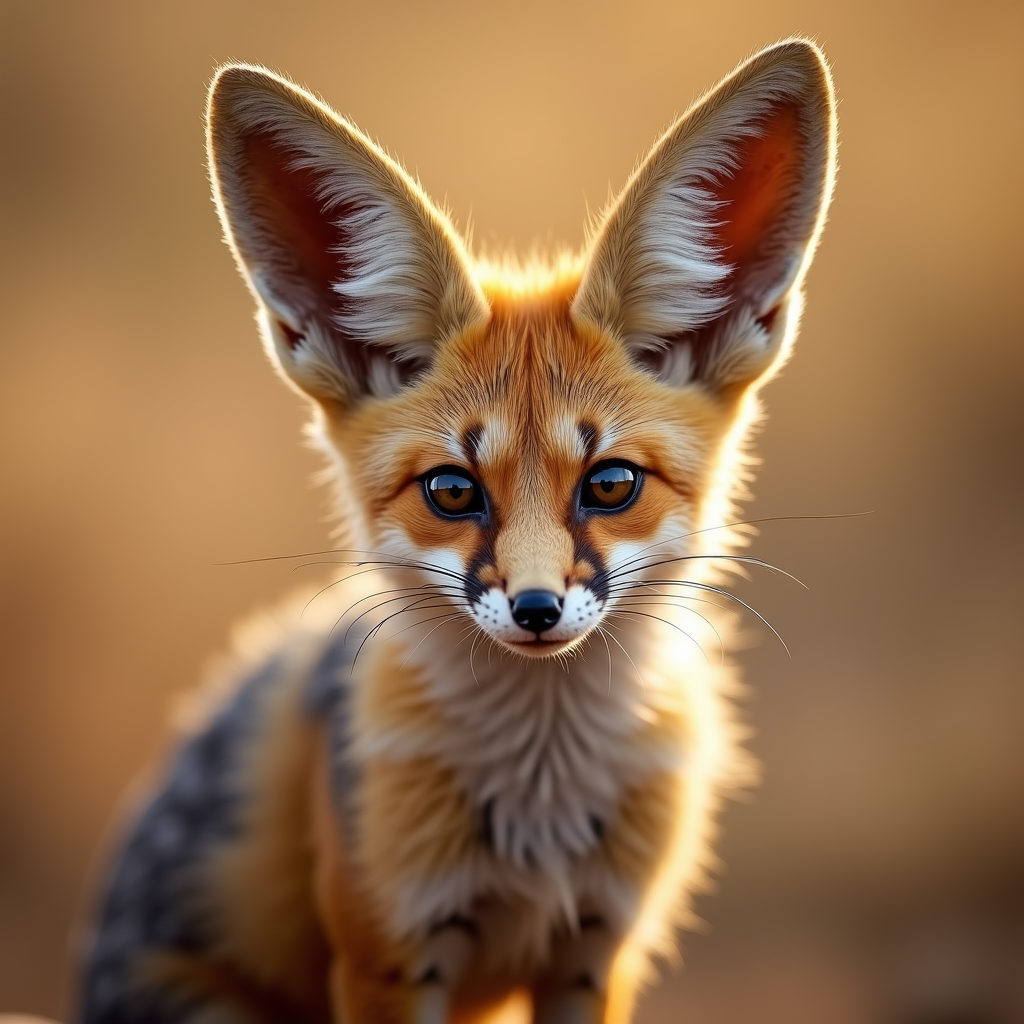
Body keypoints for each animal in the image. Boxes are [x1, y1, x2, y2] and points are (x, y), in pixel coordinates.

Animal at [76, 38, 837, 1024]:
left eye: (611, 484)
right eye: (450, 491)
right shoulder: (387, 951)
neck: (539, 812)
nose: (537, 608)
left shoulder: (599, 949)